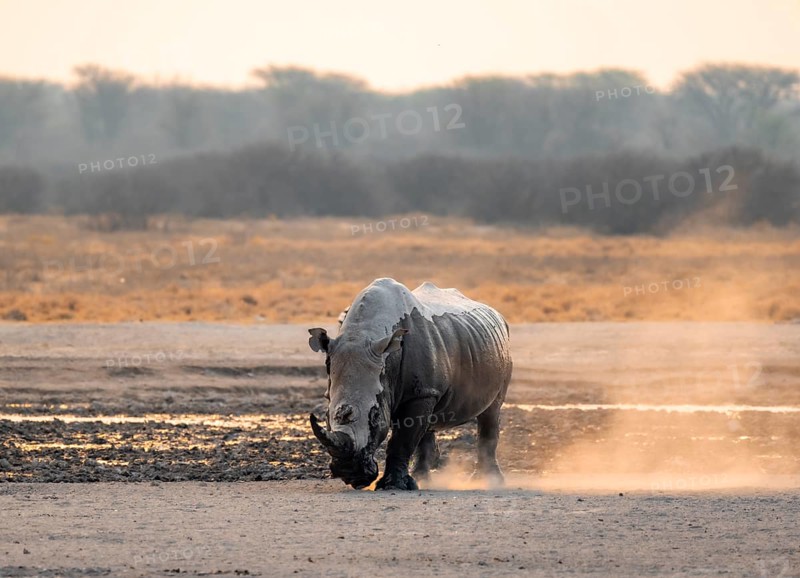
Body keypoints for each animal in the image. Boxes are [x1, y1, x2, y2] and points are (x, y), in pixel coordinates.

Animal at [308, 278, 512, 491]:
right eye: (327, 415)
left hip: (501, 350)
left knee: (491, 411)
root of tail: (497, 314)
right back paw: (423, 479)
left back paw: (488, 481)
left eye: (375, 416)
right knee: (428, 425)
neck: (364, 334)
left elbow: (402, 440)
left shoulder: (420, 393)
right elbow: (413, 432)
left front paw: (393, 486)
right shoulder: (420, 390)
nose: (350, 474)